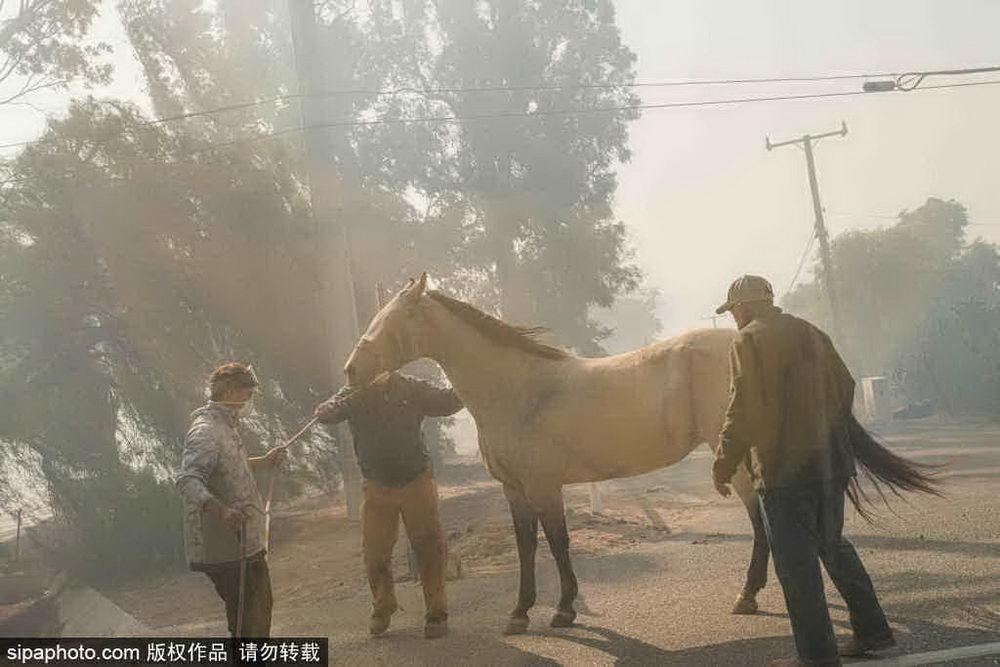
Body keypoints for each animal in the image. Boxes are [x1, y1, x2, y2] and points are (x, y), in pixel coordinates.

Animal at [340, 272, 768, 632]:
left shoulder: (544, 486)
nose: (350, 370)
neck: (517, 391)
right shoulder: (514, 489)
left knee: (758, 514)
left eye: (394, 320)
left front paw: (563, 609)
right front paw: (520, 612)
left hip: (734, 456)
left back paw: (747, 595)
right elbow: (526, 545)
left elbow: (558, 543)